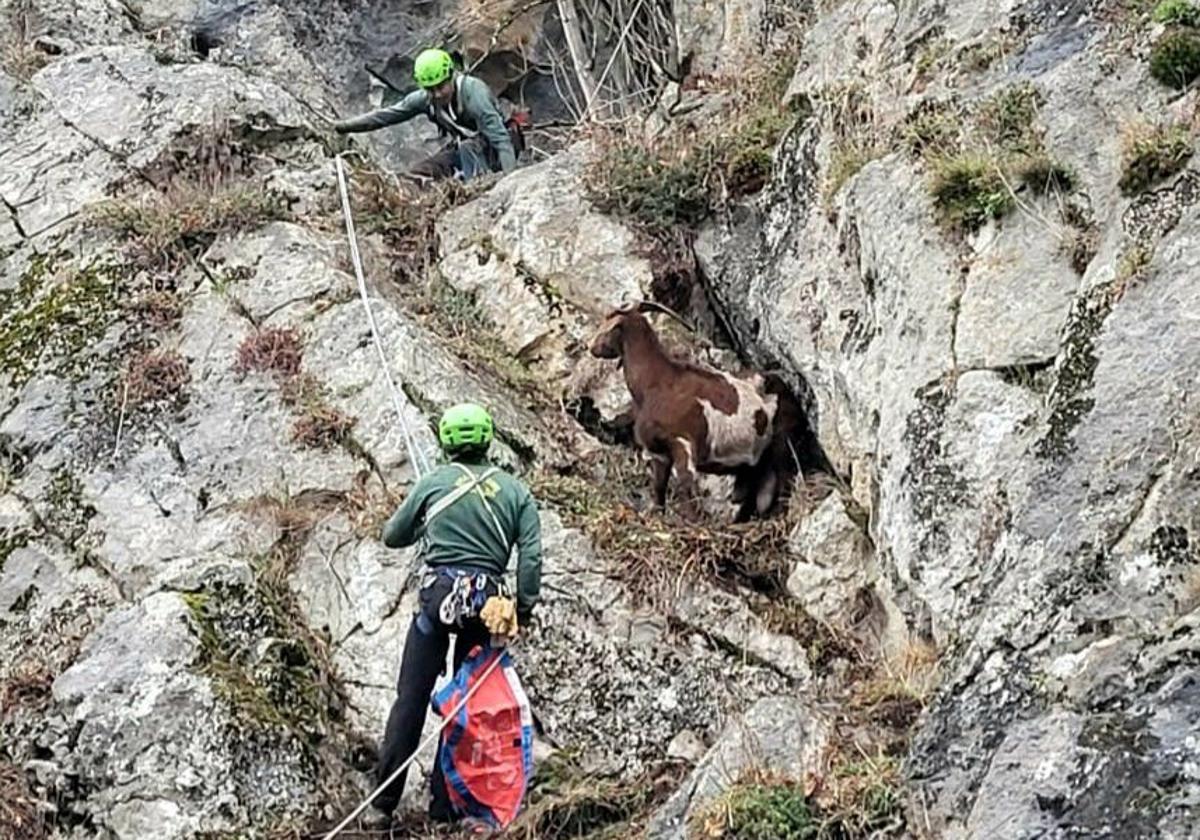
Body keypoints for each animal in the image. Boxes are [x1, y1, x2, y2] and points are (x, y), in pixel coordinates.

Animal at [590, 298, 796, 520]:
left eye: (609, 325)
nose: (591, 347)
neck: (655, 383)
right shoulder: (660, 453)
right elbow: (659, 487)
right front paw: (657, 513)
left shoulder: (683, 444)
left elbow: (685, 488)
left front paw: (690, 521)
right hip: (754, 464)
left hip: (781, 448)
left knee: (783, 485)